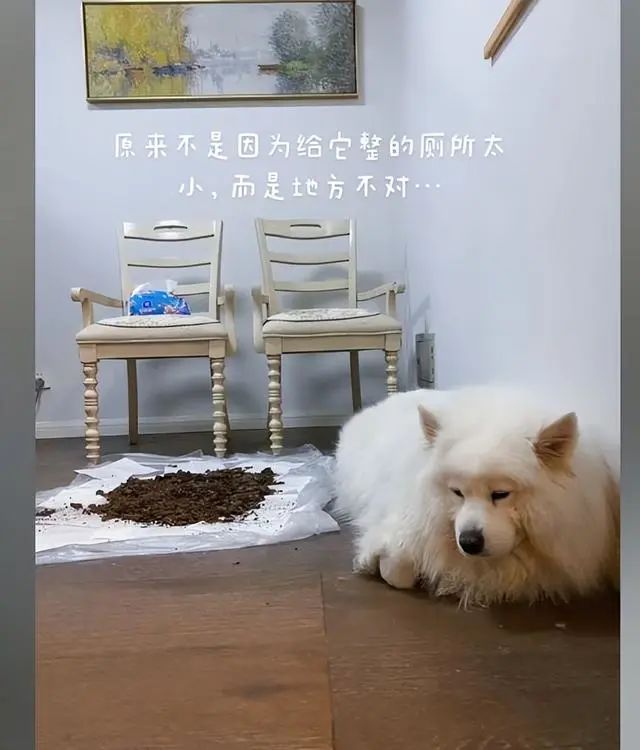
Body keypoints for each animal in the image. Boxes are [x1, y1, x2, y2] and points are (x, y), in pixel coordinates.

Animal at [334, 386, 619, 606]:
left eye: (501, 494)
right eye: (457, 492)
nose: (469, 542)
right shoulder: (408, 522)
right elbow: (397, 571)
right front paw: (371, 561)